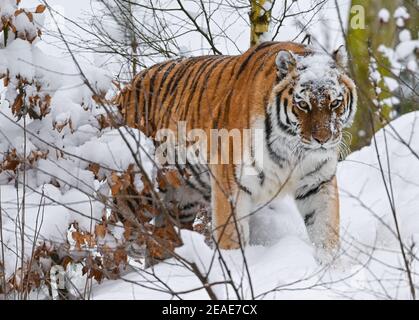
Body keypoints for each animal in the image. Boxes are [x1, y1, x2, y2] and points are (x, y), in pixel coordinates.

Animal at [116, 41, 360, 251]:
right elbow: (231, 240)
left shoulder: (318, 184)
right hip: (138, 193)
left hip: (181, 202)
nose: (323, 139)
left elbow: (325, 235)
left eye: (335, 103)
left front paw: (330, 269)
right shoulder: (230, 184)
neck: (291, 150)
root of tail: (125, 90)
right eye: (303, 104)